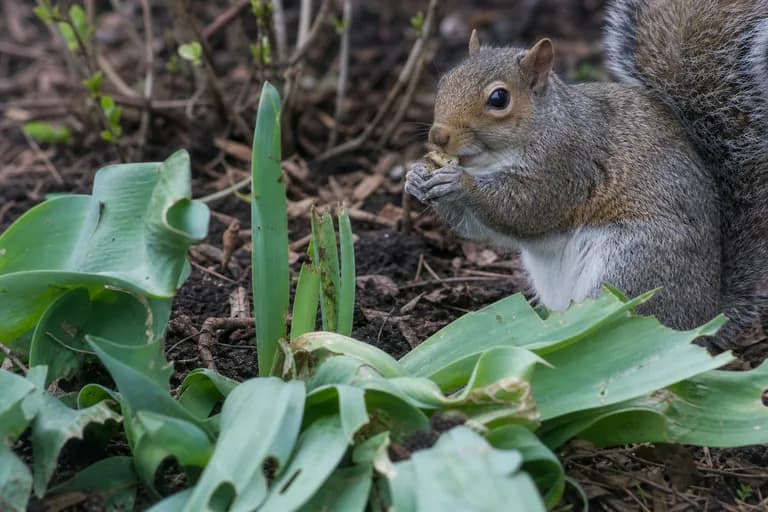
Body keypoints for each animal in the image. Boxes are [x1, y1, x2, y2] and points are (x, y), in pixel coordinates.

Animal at [405, 0, 768, 351]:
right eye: (444, 81)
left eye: (498, 98)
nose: (438, 136)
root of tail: (704, 320)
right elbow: (485, 230)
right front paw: (416, 176)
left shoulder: (568, 163)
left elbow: (526, 209)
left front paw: (459, 183)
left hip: (631, 266)